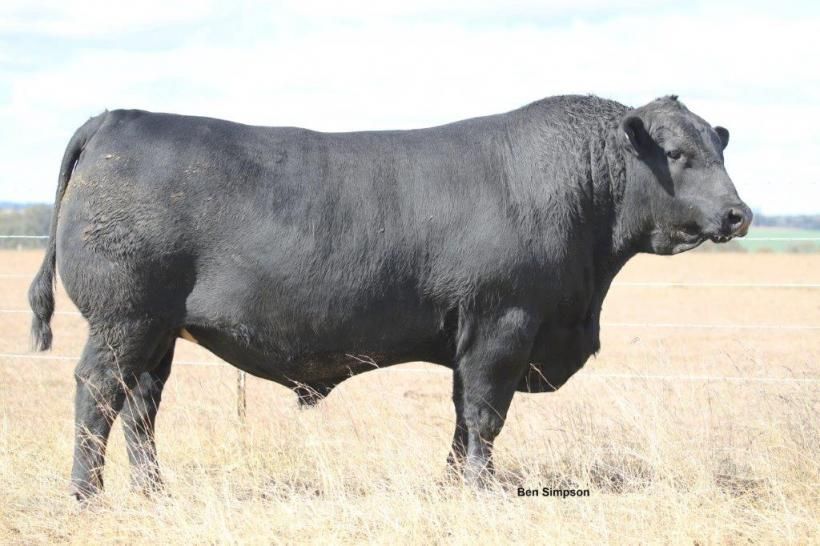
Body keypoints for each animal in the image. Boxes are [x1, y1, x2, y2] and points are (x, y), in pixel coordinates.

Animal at [28, 94, 751, 500]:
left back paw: (155, 492)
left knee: (141, 408)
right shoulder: (504, 324)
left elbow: (462, 416)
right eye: (678, 154)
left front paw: (454, 484)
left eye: (718, 147)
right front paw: (484, 491)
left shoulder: (472, 337)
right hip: (124, 318)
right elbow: (486, 414)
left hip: (156, 331)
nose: (738, 214)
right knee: (98, 392)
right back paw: (87, 493)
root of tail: (117, 119)